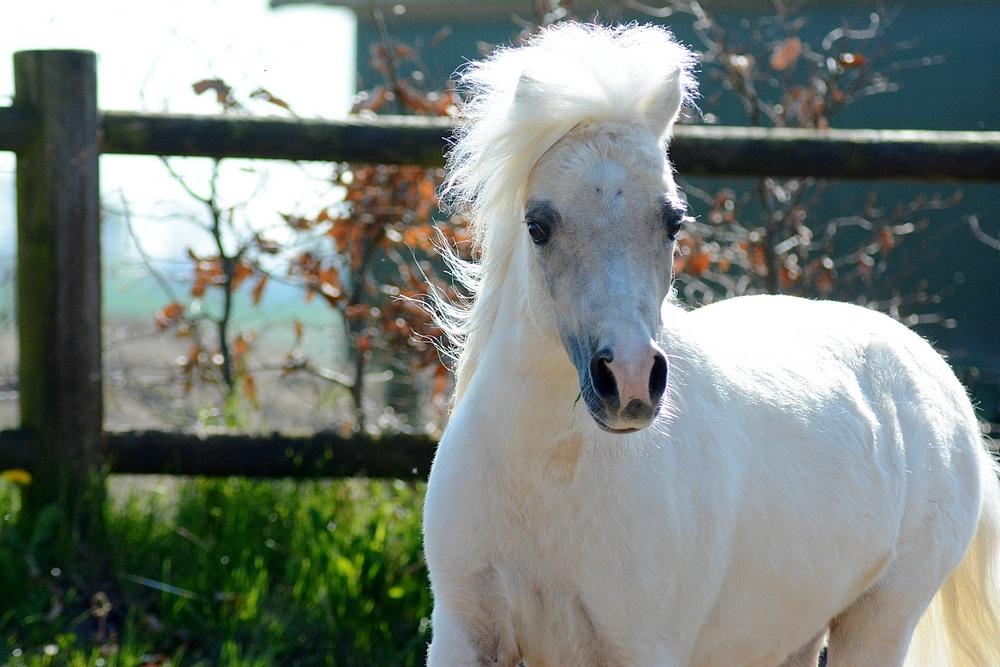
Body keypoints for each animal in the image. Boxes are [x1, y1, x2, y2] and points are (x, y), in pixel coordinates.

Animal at [422, 22, 1000, 667]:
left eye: (673, 221)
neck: (547, 474)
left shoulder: (642, 647)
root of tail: (940, 380)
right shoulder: (463, 634)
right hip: (792, 633)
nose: (629, 381)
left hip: (881, 622)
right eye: (538, 226)